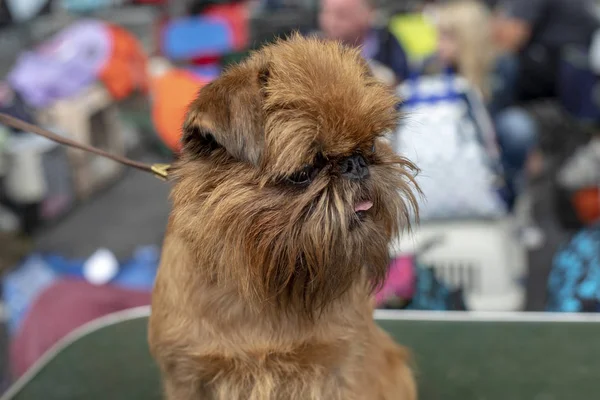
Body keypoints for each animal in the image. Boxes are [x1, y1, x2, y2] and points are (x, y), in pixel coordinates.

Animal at [148, 35, 420, 400]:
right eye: (302, 173)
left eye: (373, 145)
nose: (356, 163)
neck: (262, 285)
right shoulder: (187, 378)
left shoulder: (341, 371)